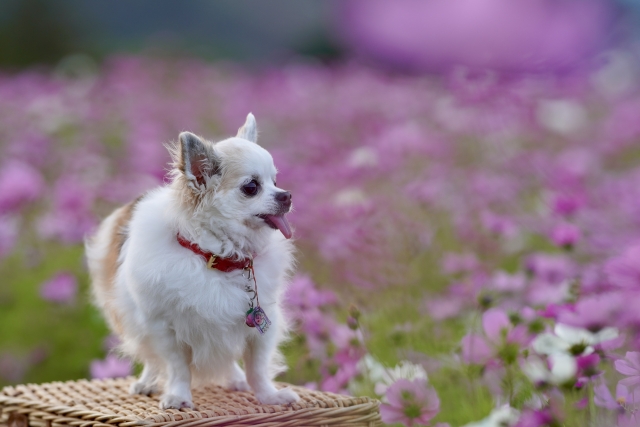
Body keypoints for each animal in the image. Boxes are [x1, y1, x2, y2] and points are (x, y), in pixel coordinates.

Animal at [84, 114, 300, 412]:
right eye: (251, 187)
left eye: (276, 181)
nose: (287, 195)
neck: (215, 257)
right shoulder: (163, 328)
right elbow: (178, 368)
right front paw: (178, 396)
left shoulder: (262, 325)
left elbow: (257, 367)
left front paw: (269, 396)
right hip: (135, 320)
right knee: (151, 358)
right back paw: (147, 382)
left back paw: (235, 378)